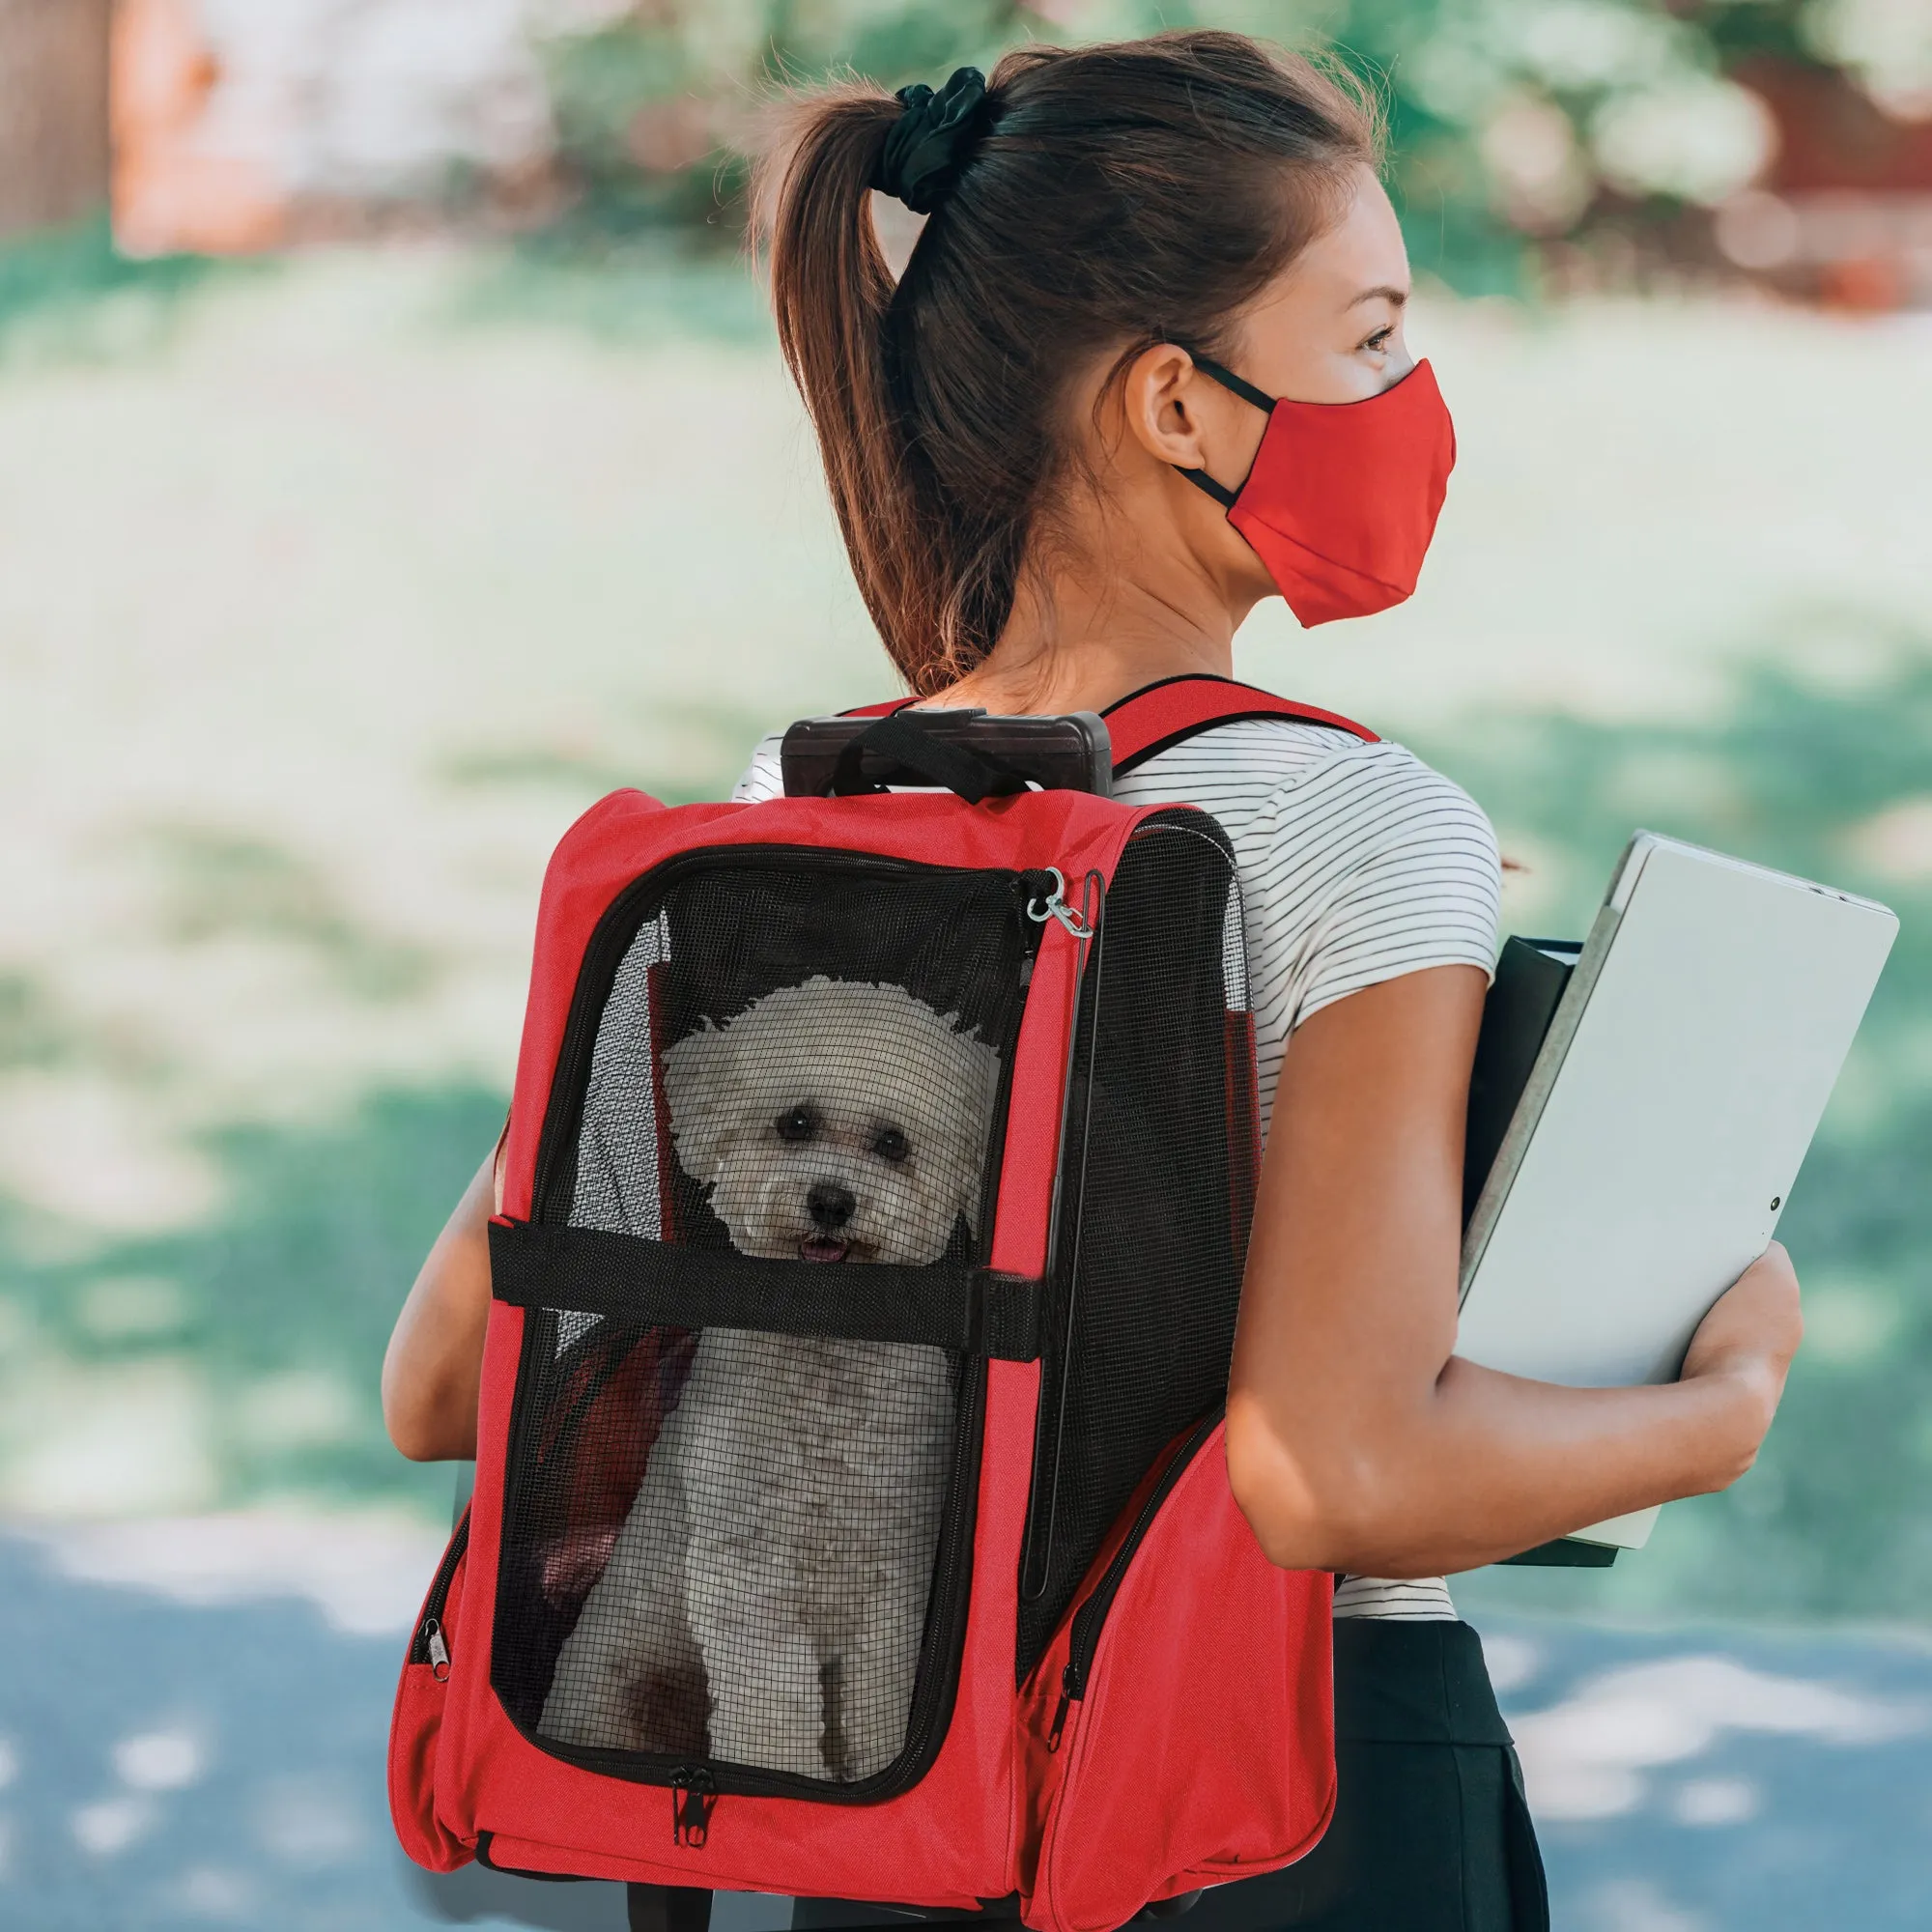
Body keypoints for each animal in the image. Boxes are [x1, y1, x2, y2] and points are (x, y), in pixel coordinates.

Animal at [541, 981, 997, 1777]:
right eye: (795, 1122)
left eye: (893, 1143)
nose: (832, 1202)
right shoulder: (751, 1579)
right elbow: (775, 1709)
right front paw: (782, 1782)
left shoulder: (893, 1576)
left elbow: (879, 1705)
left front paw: (875, 1773)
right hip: (617, 1688)